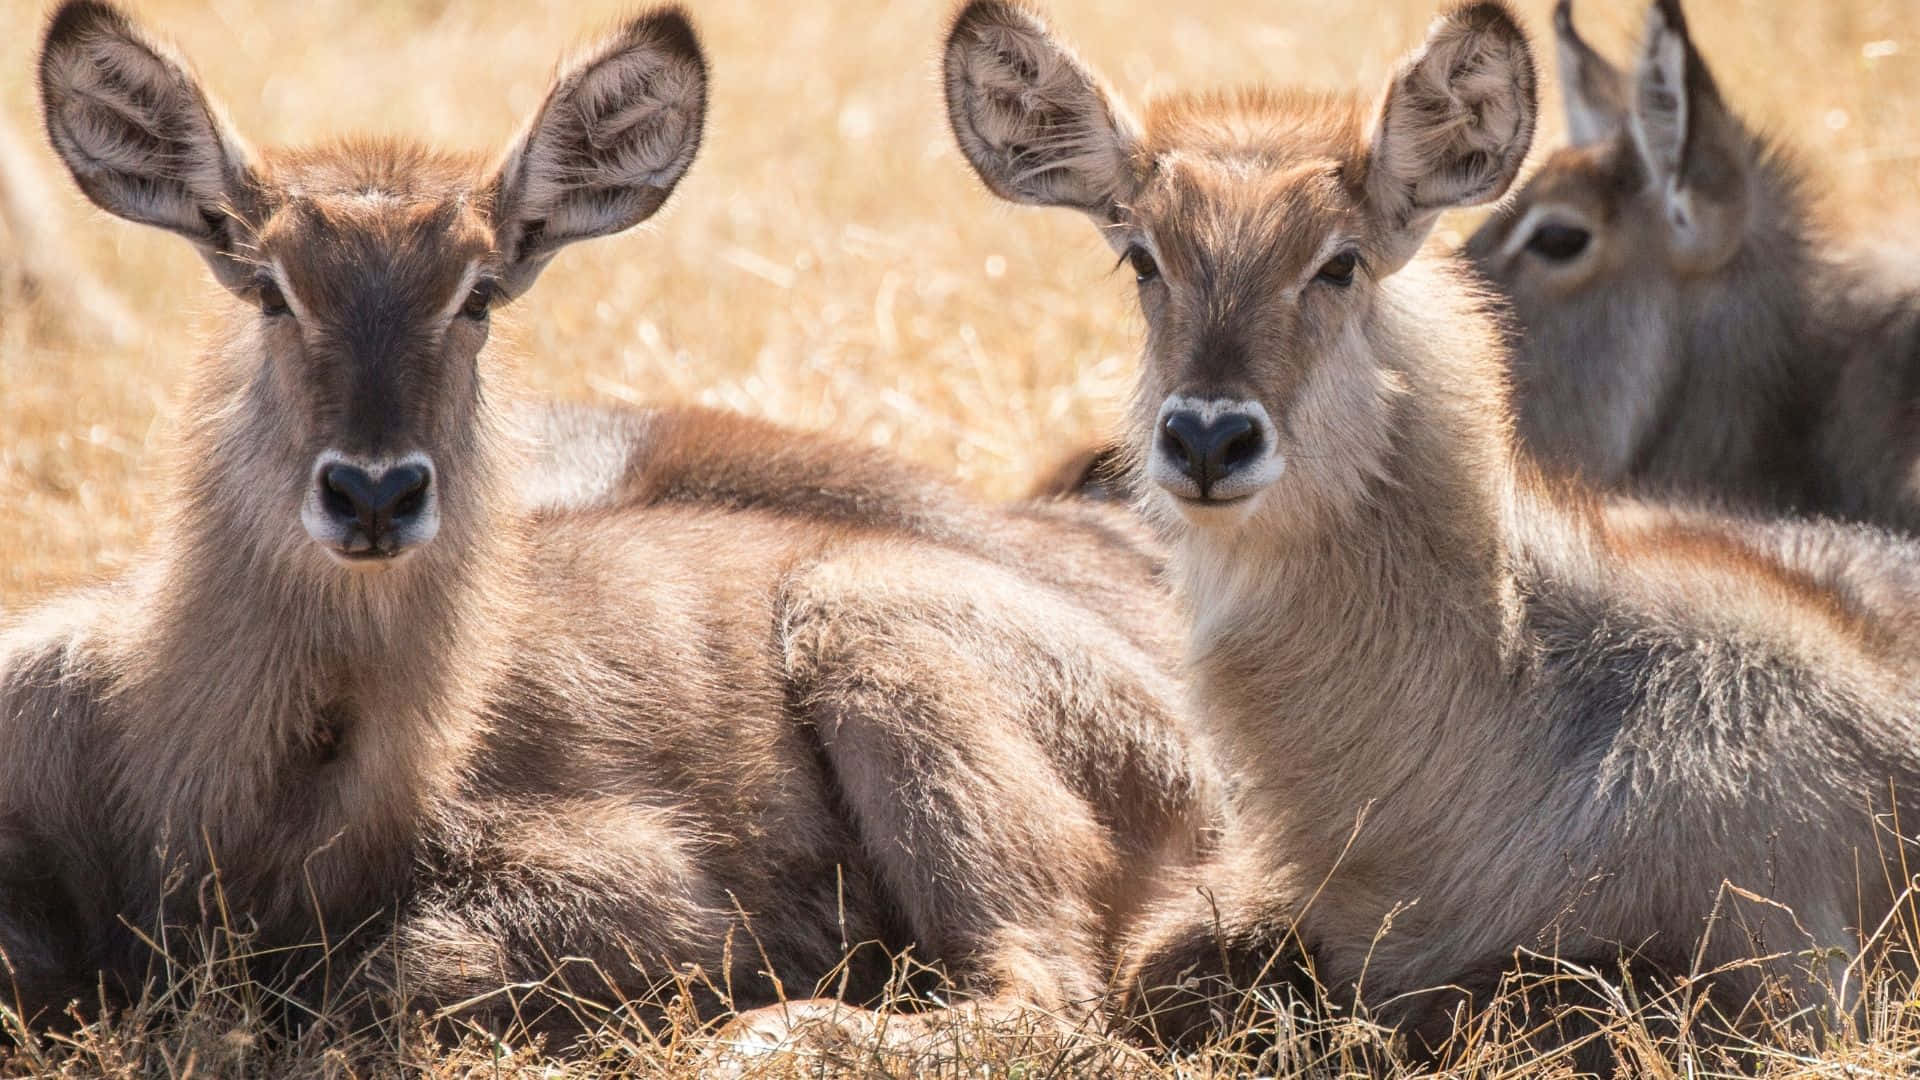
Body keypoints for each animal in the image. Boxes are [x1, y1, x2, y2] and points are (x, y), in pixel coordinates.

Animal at [0, 0, 1222, 1053]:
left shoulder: (647, 880)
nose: (375, 494)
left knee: (1042, 993)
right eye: (268, 286)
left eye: (478, 294)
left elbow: (402, 970)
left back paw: (769, 1037)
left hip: (869, 625)